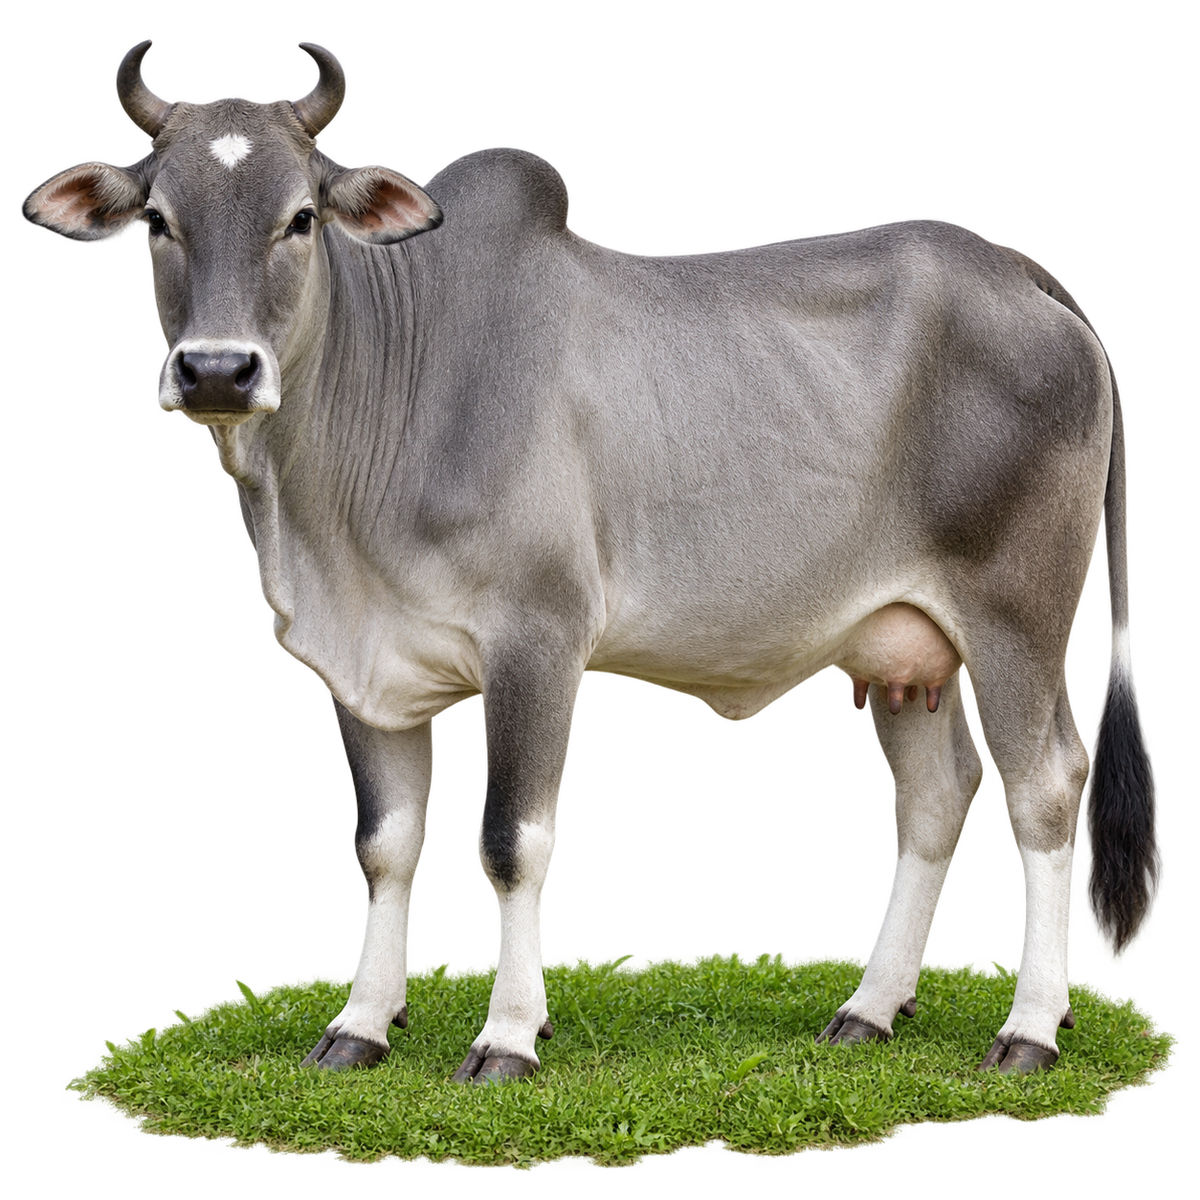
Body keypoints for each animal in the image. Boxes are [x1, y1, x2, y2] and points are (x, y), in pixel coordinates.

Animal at [22, 38, 1162, 1083]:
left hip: (1017, 617)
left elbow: (510, 840)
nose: (217, 370)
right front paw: (358, 1025)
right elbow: (385, 846)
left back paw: (1030, 1028)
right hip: (898, 643)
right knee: (935, 797)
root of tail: (1008, 266)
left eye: (300, 217)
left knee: (1045, 790)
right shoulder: (366, 667)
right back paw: (870, 1010)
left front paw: (507, 1037)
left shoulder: (537, 637)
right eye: (157, 220)